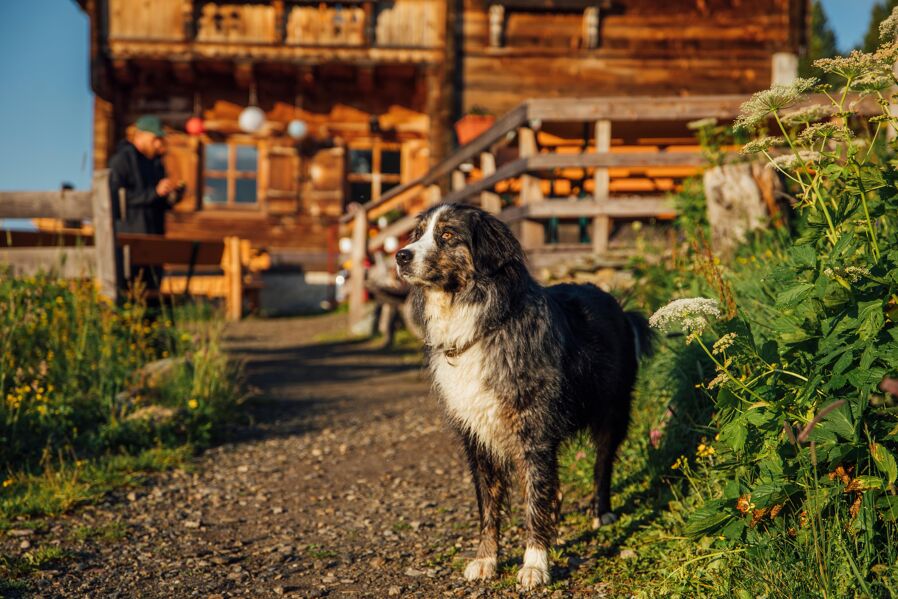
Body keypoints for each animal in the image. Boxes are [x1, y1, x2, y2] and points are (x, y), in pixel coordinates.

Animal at [396, 205, 648, 592]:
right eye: (417, 234)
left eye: (448, 235)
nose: (400, 256)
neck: (480, 323)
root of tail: (618, 305)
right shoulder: (477, 437)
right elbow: (489, 506)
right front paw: (486, 560)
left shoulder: (535, 432)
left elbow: (533, 501)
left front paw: (535, 564)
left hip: (613, 411)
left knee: (602, 462)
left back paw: (601, 512)